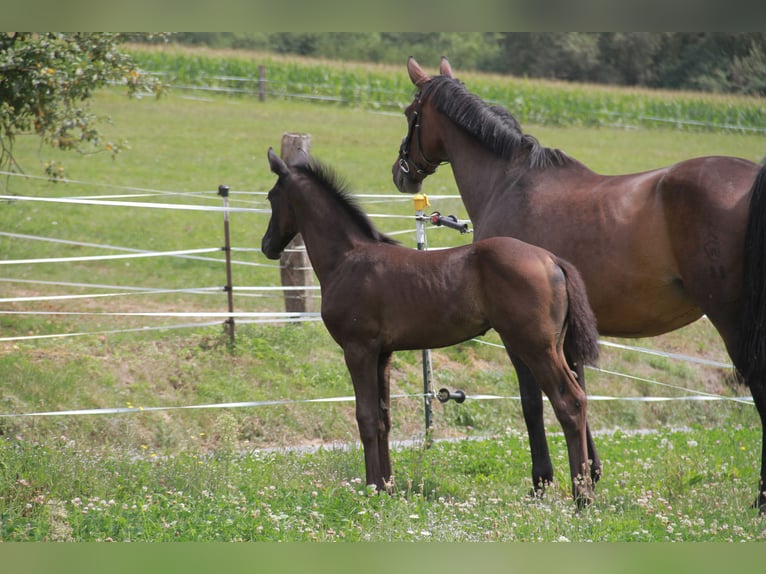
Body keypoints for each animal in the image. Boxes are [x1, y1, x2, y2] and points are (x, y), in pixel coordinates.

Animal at [261, 147, 600, 504]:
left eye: (271, 196)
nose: (267, 245)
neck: (347, 259)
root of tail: (552, 260)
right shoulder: (383, 354)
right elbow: (383, 419)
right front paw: (387, 487)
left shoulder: (358, 350)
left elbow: (365, 418)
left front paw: (371, 489)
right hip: (554, 346)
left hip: (536, 347)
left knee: (570, 403)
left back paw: (582, 499)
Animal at [391, 56, 766, 512]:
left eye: (409, 113)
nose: (401, 173)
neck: (509, 182)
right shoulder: (567, 333)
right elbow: (578, 389)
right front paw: (590, 474)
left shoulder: (519, 335)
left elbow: (533, 402)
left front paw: (543, 481)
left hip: (731, 319)